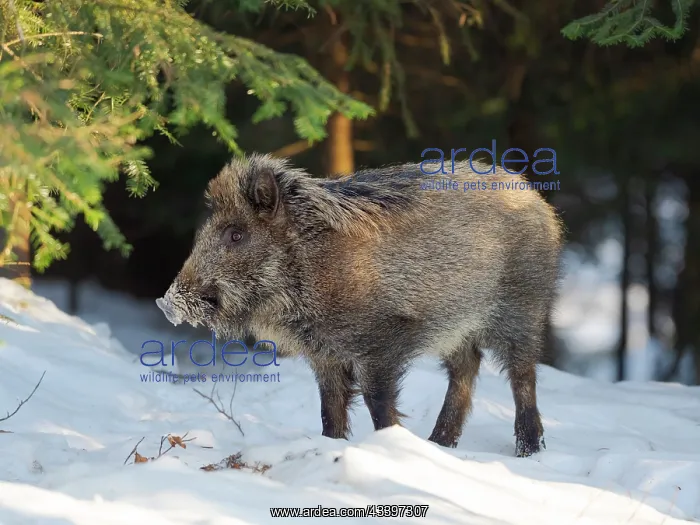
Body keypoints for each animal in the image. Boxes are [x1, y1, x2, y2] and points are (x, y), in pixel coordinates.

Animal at [157, 153, 563, 457]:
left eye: (236, 234)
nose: (166, 302)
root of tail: (536, 199)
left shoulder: (380, 343)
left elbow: (378, 404)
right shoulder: (325, 355)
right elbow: (330, 410)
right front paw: (333, 445)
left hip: (522, 309)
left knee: (522, 374)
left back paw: (528, 451)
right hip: (456, 328)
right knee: (467, 367)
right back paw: (439, 443)